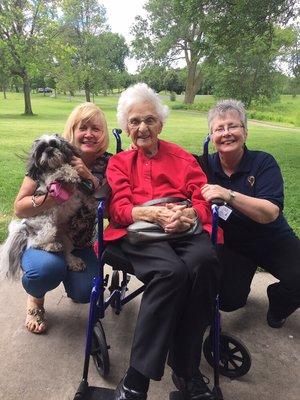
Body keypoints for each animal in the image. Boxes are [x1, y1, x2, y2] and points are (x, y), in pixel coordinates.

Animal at [0, 134, 96, 278]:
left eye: (54, 144)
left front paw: (93, 203)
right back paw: (51, 246)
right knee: (35, 243)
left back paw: (73, 261)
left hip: (66, 237)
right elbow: (61, 170)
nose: (49, 150)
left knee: (66, 252)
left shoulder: (79, 190)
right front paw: (70, 173)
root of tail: (25, 230)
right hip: (47, 225)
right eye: (41, 149)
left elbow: (86, 194)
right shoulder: (50, 181)